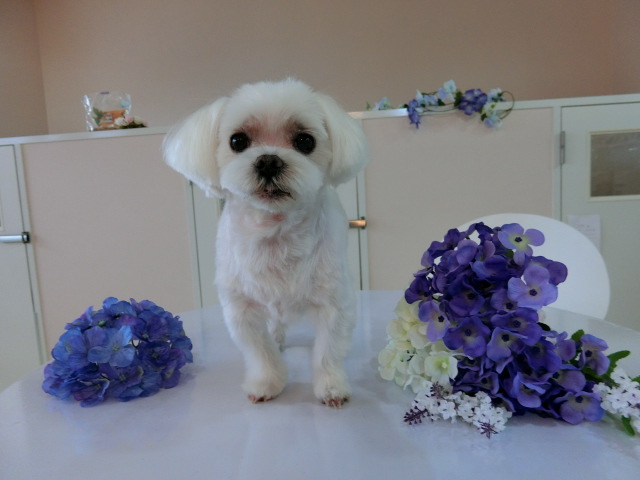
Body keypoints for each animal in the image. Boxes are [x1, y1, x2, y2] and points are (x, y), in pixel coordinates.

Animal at [163, 79, 369, 407]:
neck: (274, 234)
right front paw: (266, 383)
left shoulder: (334, 302)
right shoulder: (241, 308)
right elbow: (260, 351)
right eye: (237, 140)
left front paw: (331, 387)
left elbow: (328, 351)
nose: (269, 161)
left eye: (305, 141)